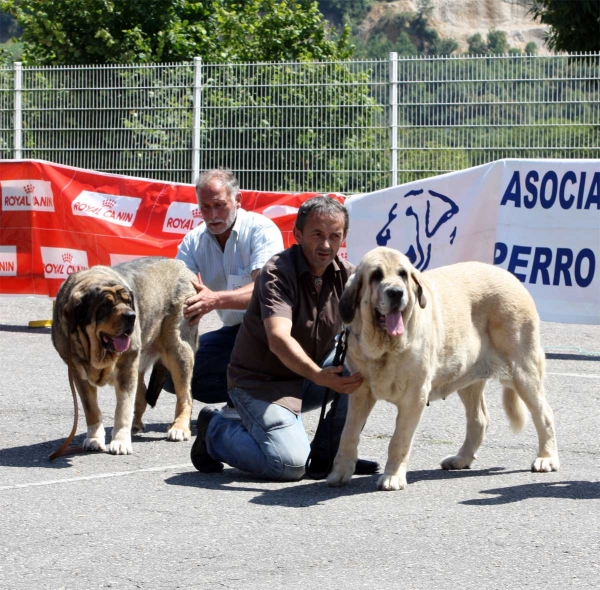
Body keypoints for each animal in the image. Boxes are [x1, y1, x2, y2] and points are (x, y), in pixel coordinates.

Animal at [328, 247, 556, 492]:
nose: (396, 293)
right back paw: (461, 459)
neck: (385, 349)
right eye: (376, 275)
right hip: (469, 379)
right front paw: (339, 473)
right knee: (479, 419)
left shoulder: (414, 397)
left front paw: (393, 476)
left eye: (403, 274)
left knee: (544, 414)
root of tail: (513, 278)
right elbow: (348, 434)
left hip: (523, 372)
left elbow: (398, 441)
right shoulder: (360, 393)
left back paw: (546, 458)